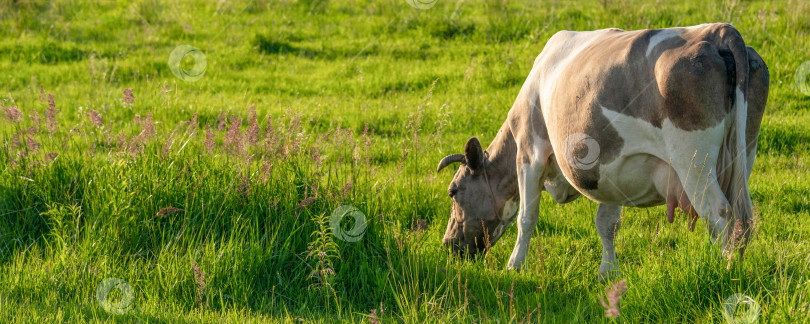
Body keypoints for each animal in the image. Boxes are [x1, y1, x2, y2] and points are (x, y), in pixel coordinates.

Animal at [438, 23, 768, 280]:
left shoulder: (530, 152)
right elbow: (607, 224)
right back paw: (735, 266)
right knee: (741, 217)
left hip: (693, 161)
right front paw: (608, 272)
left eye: (453, 191)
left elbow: (526, 216)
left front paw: (515, 266)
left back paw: (721, 270)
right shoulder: (612, 170)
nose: (447, 244)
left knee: (719, 213)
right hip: (743, 153)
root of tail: (717, 31)